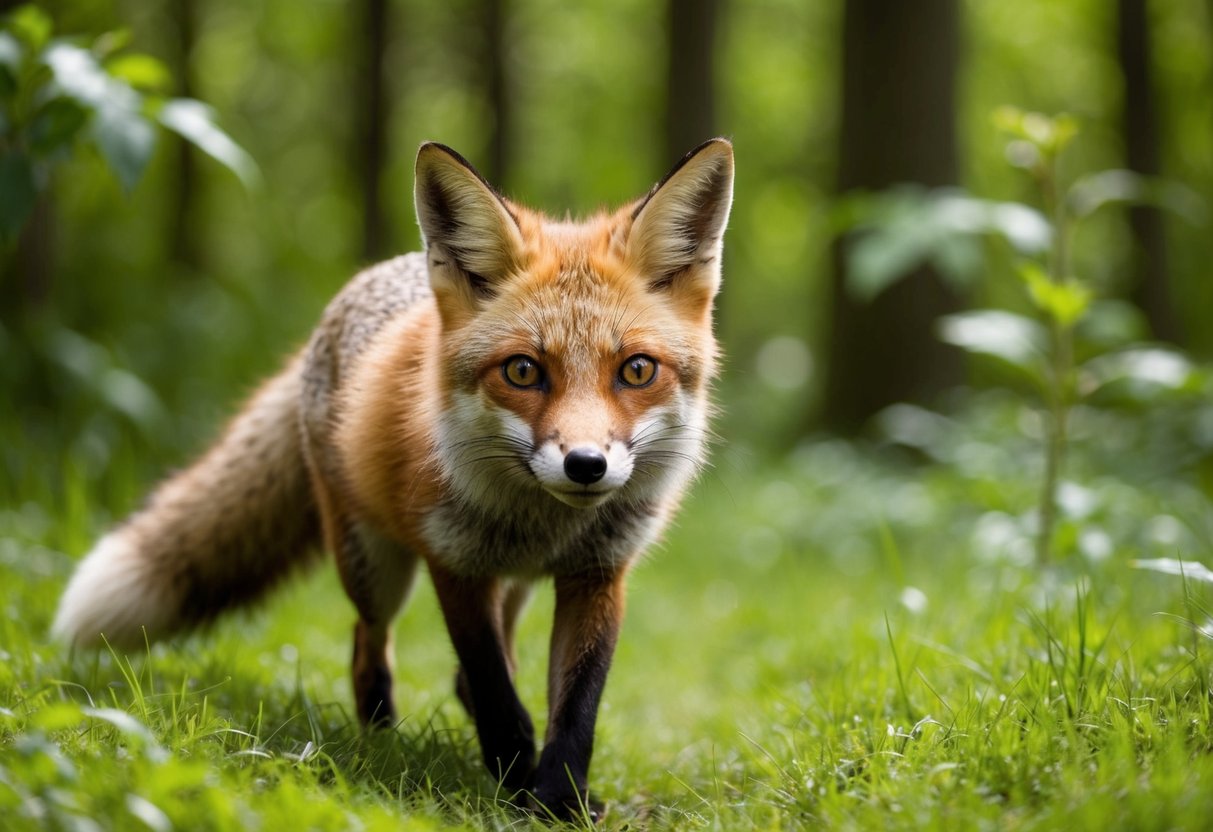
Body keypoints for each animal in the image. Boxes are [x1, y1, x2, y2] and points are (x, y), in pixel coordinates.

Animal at [53, 137, 734, 818]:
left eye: (637, 370)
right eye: (522, 371)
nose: (586, 465)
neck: (545, 525)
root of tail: (358, 288)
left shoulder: (597, 575)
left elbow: (575, 706)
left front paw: (558, 800)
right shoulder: (454, 562)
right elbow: (493, 688)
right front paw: (513, 785)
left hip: (511, 586)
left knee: (478, 661)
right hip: (374, 566)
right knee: (368, 642)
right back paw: (380, 742)